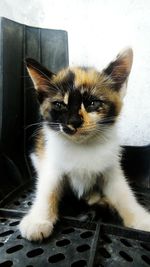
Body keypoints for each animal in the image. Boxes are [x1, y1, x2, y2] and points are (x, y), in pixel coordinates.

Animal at [19, 48, 150, 243]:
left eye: (93, 103)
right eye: (60, 105)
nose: (74, 122)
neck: (83, 146)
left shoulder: (111, 167)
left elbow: (123, 192)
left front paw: (140, 219)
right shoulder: (51, 163)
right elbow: (47, 189)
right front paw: (38, 220)